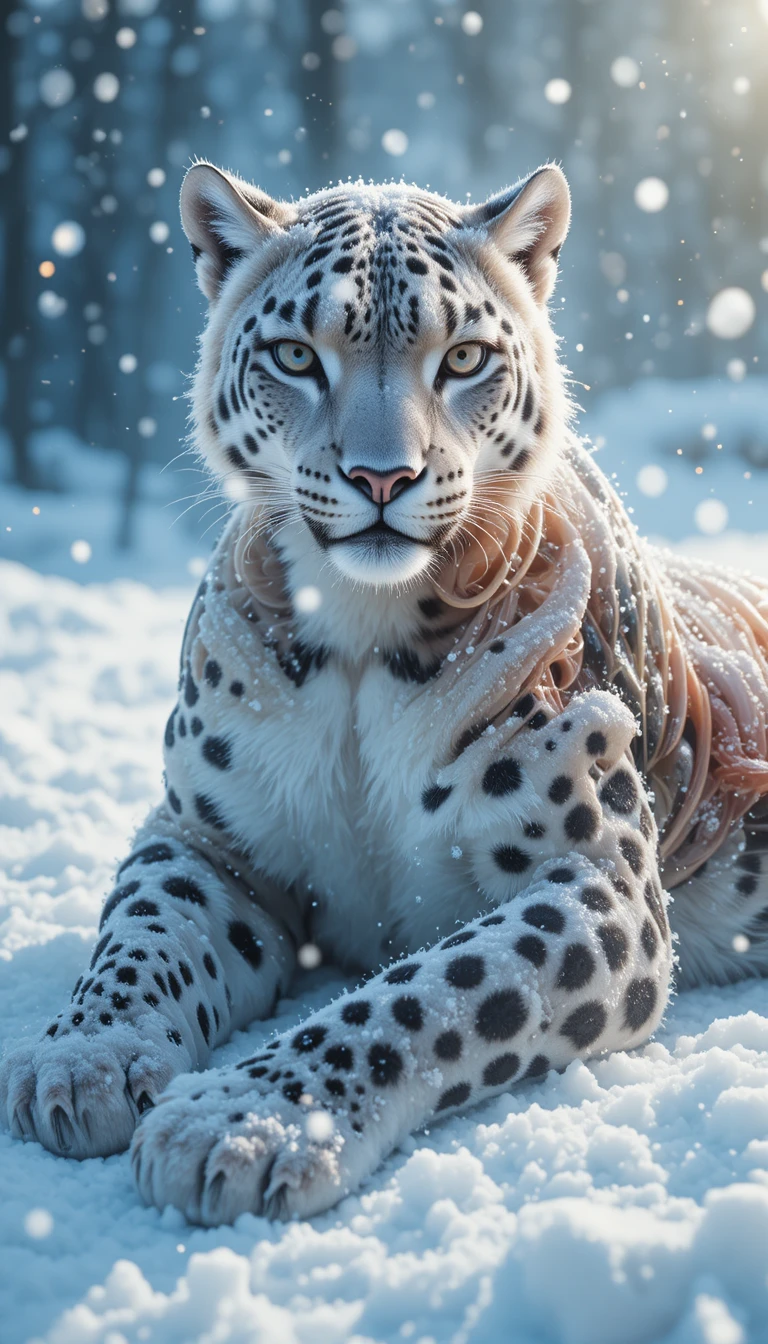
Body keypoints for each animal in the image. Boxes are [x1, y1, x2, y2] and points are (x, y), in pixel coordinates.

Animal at [4, 160, 768, 1228]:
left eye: (464, 357)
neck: (360, 642)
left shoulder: (591, 878)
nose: (381, 476)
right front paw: (81, 1062)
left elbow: (422, 996)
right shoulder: (208, 838)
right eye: (294, 356)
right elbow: (141, 933)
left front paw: (238, 1124)